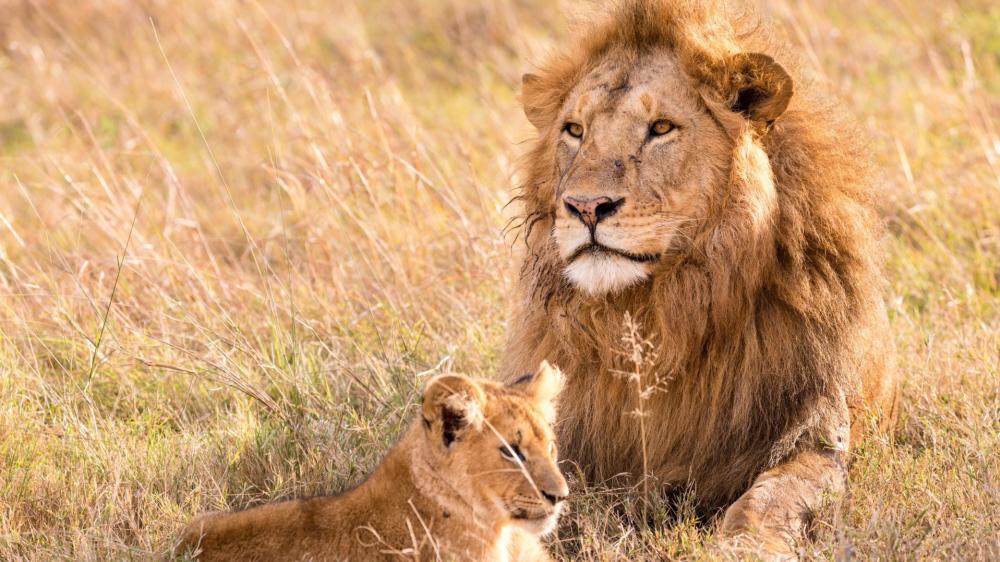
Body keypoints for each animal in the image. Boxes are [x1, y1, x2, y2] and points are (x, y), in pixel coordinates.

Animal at [502, 0, 899, 557]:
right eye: (574, 130)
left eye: (662, 127)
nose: (585, 207)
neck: (656, 313)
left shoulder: (815, 431)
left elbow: (771, 497)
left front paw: (747, 549)